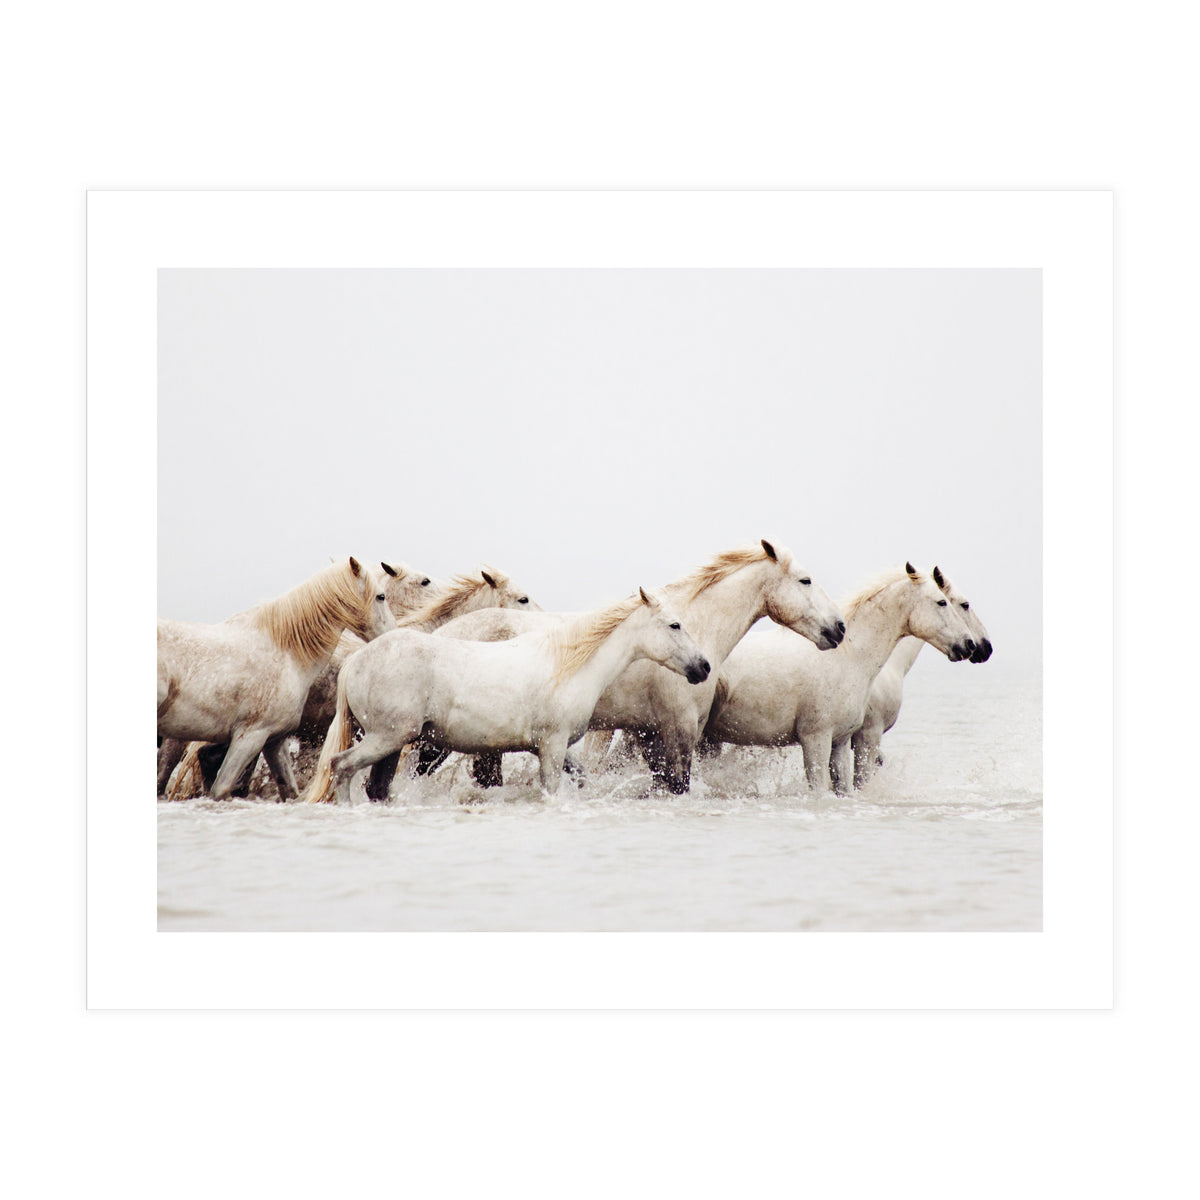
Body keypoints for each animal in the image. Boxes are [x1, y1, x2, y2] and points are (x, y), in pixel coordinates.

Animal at [302, 587, 712, 803]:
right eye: (675, 625)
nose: (703, 667)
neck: (568, 664)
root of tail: (356, 660)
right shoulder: (552, 745)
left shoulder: (553, 749)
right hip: (387, 737)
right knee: (342, 767)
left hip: (393, 742)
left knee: (376, 786)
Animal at [419, 540, 846, 795]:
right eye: (805, 580)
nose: (839, 628)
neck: (695, 627)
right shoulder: (678, 730)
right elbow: (677, 784)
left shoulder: (648, 733)